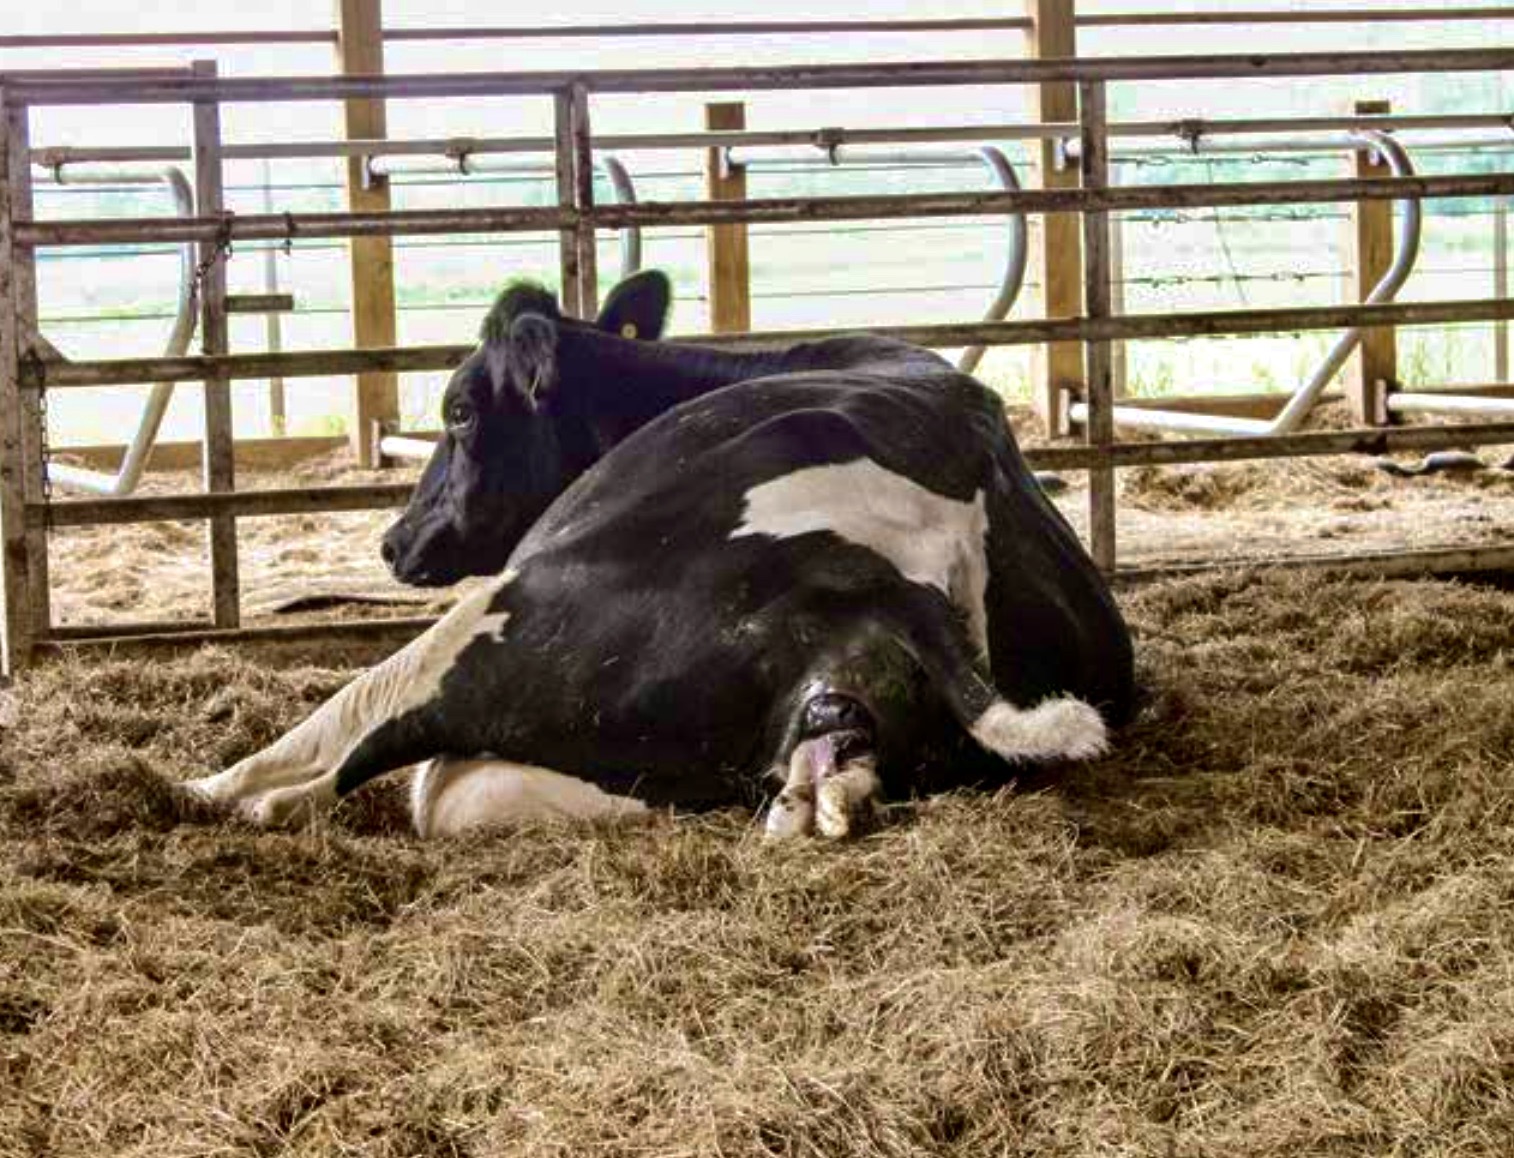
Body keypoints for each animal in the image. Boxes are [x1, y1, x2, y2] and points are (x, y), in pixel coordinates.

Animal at [186, 273, 1138, 829]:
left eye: (459, 410)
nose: (393, 542)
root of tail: (905, 572)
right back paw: (824, 792)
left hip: (515, 618)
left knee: (347, 738)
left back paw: (203, 791)